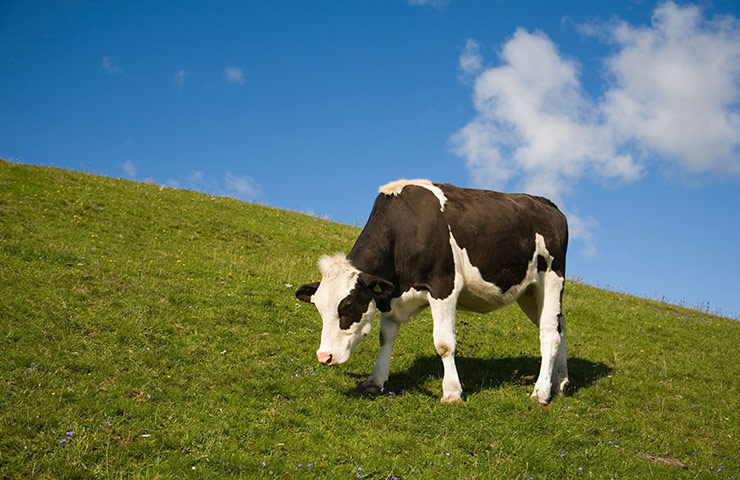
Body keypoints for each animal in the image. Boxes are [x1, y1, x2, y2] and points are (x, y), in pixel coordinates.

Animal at [296, 179, 569, 404]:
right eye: (319, 308)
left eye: (348, 304)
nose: (324, 357)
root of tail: (546, 203)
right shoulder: (389, 294)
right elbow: (386, 338)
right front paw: (375, 380)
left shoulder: (443, 286)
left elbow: (444, 343)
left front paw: (452, 392)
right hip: (530, 292)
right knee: (560, 325)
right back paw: (561, 382)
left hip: (552, 278)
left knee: (549, 333)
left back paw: (541, 392)